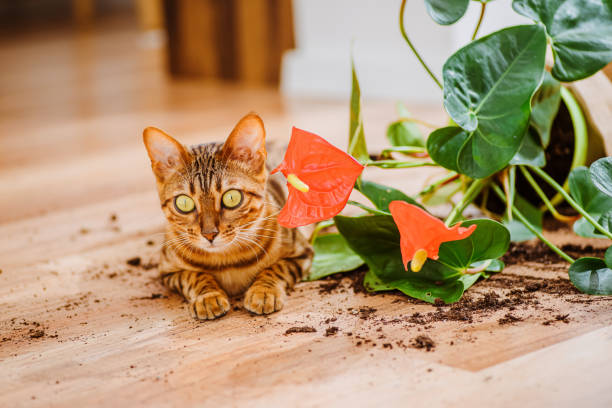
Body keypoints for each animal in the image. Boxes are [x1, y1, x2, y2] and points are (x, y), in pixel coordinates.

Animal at [143, 113, 314, 320]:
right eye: (184, 203)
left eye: (232, 198)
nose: (209, 234)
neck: (227, 260)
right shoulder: (167, 271)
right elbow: (194, 275)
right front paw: (208, 296)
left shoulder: (303, 253)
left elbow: (276, 268)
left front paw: (264, 292)